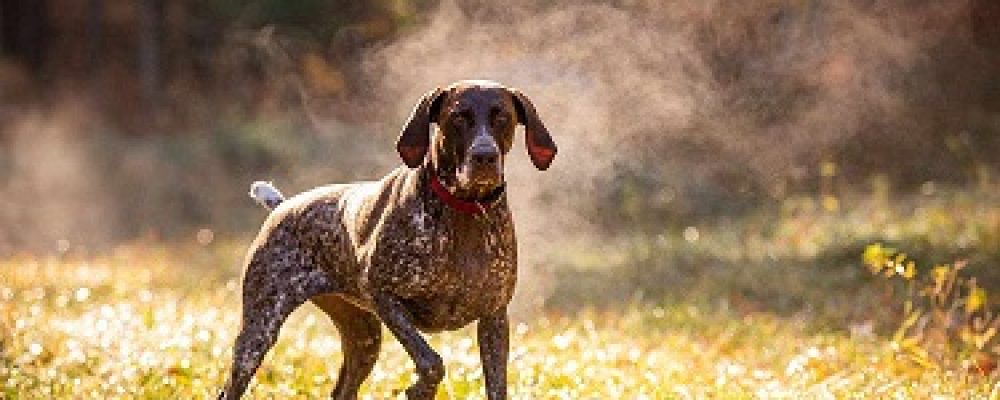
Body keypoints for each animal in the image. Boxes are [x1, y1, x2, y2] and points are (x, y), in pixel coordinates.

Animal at [219, 80, 557, 399]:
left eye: (502, 117)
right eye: (459, 117)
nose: (484, 156)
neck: (465, 211)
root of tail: (283, 205)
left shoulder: (494, 319)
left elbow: (496, 385)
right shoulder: (384, 295)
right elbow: (432, 362)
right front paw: (420, 390)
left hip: (364, 339)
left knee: (343, 390)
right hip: (259, 332)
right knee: (232, 385)